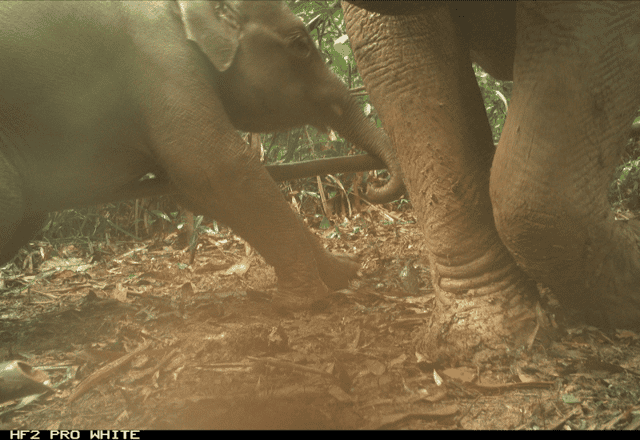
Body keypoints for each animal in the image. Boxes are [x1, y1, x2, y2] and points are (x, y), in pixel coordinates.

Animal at [0, 1, 405, 311]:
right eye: (301, 45)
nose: (373, 182)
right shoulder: (159, 57)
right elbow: (219, 167)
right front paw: (301, 302)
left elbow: (193, 189)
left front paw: (346, 271)